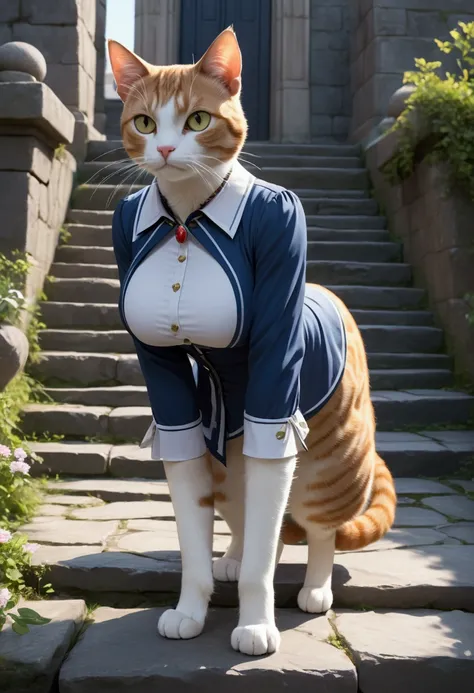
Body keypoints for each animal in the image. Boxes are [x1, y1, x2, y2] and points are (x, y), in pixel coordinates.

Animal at [107, 25, 396, 656]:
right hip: (228, 466)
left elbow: (273, 544)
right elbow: (196, 537)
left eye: (196, 120)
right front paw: (190, 610)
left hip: (328, 467)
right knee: (252, 517)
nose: (166, 151)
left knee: (313, 528)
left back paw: (314, 587)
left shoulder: (271, 393)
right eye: (145, 122)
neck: (187, 217)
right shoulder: (173, 396)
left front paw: (257, 622)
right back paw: (235, 558)